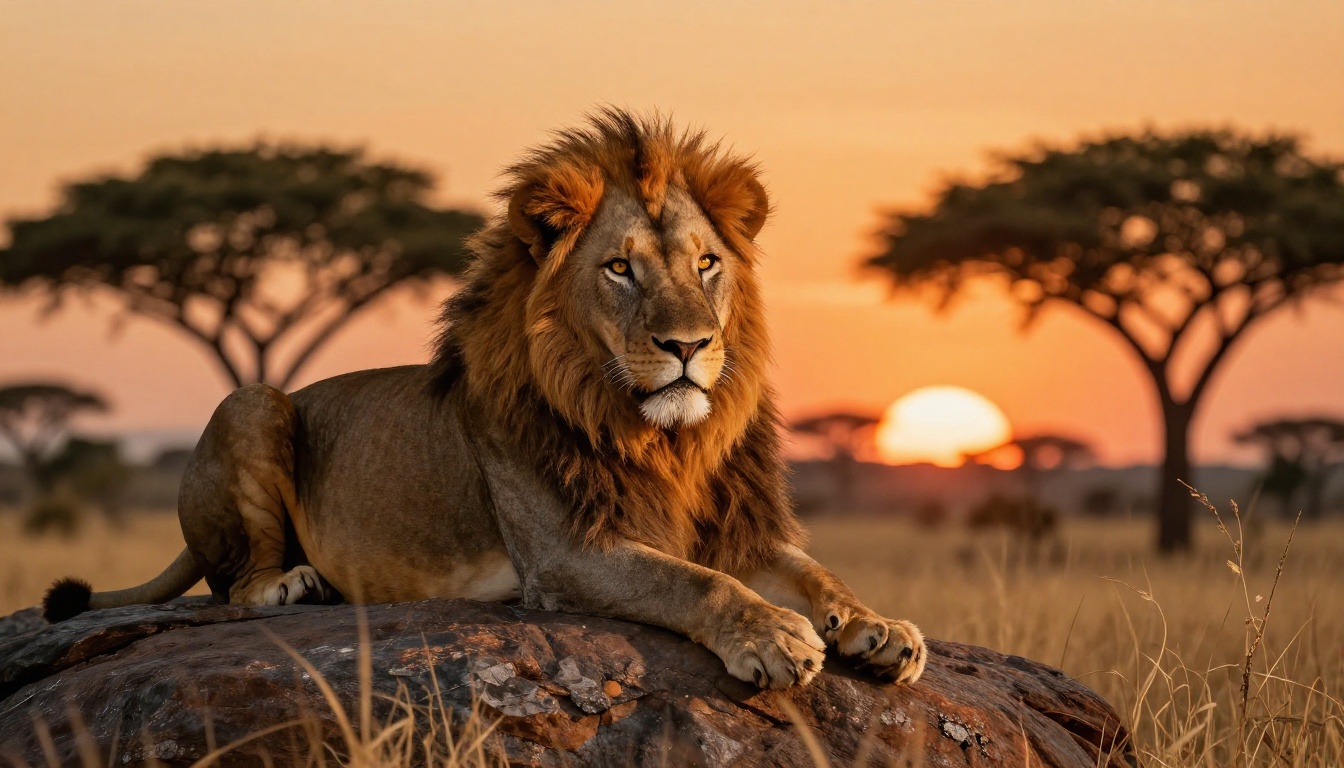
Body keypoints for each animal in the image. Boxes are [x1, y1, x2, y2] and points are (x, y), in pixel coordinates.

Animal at [43, 109, 926, 689]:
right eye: (620, 269)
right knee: (233, 586)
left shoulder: (731, 528)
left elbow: (816, 572)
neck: (660, 437)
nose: (689, 346)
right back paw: (293, 583)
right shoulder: (567, 554)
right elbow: (691, 583)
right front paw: (775, 635)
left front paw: (877, 627)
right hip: (253, 399)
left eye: (706, 263)